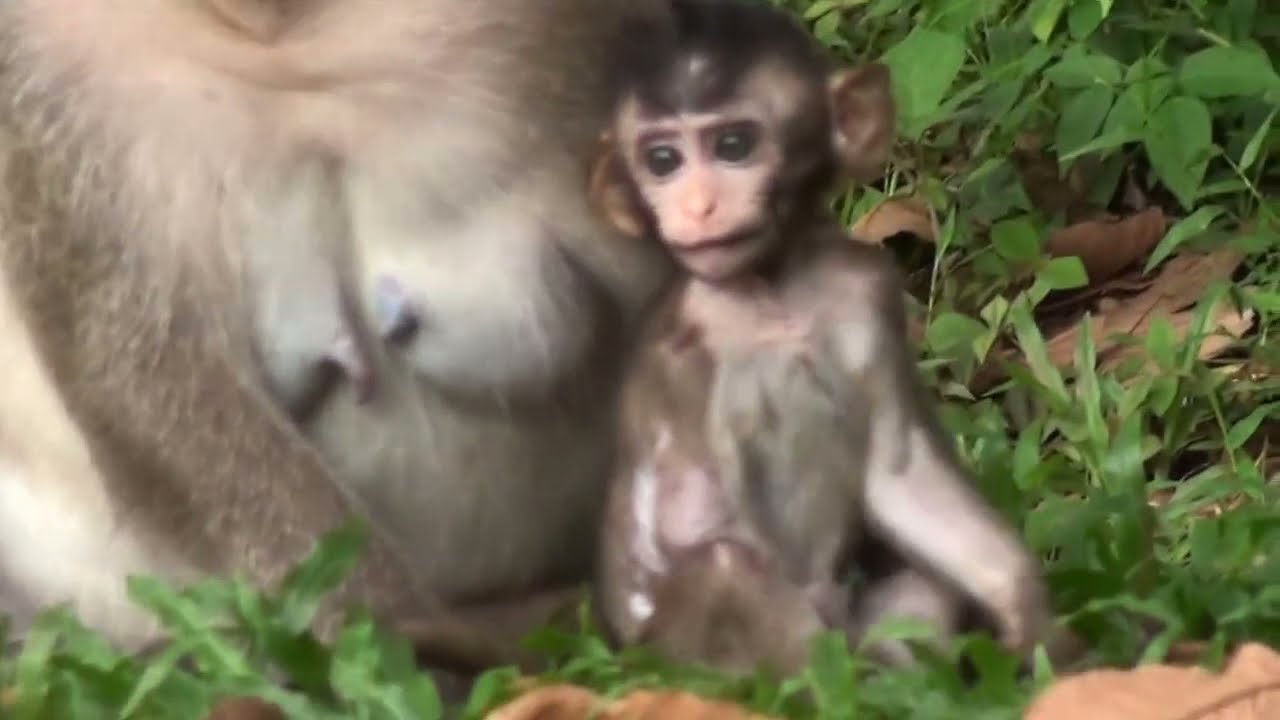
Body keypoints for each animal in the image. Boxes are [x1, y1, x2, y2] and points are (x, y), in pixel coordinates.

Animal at [592, 0, 1050, 673]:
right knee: (725, 566)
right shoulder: (685, 357)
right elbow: (695, 519)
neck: (775, 294)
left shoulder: (866, 291)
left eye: (733, 146)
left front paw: (1031, 620)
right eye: (662, 161)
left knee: (919, 588)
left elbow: (897, 474)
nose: (697, 207)